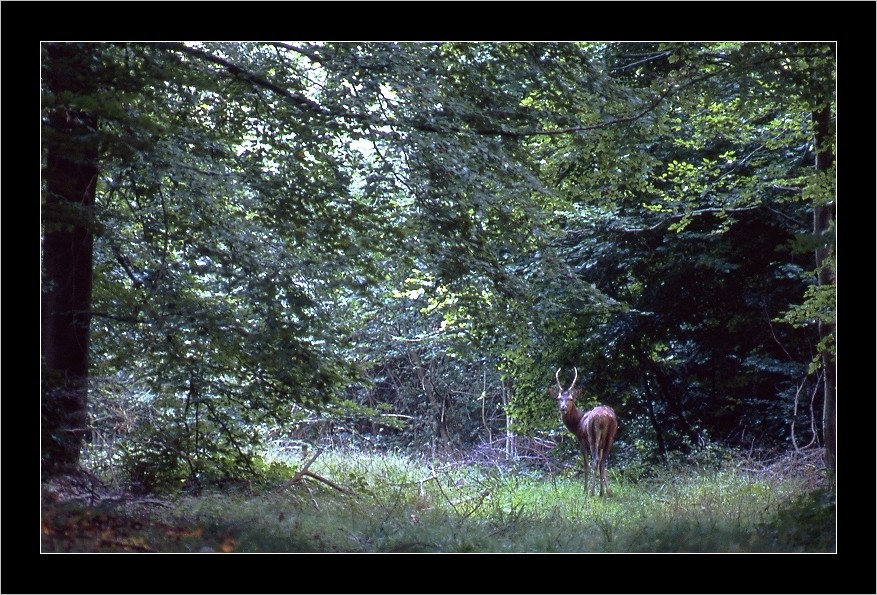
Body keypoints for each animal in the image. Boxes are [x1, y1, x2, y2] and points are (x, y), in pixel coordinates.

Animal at [552, 368, 620, 498]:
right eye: (558, 398)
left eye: (571, 398)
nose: (563, 408)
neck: (577, 423)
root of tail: (605, 418)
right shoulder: (601, 445)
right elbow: (602, 465)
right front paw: (607, 491)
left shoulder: (581, 440)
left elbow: (586, 465)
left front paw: (585, 490)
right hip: (610, 436)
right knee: (603, 461)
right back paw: (602, 492)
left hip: (593, 435)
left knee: (595, 460)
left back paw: (592, 492)